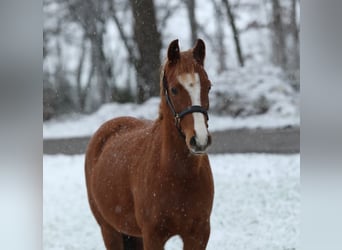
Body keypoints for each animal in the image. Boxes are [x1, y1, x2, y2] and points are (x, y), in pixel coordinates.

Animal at [85, 38, 214, 248]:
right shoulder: (153, 236)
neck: (177, 174)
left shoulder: (199, 234)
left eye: (208, 86)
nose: (200, 140)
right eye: (174, 89)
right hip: (109, 230)